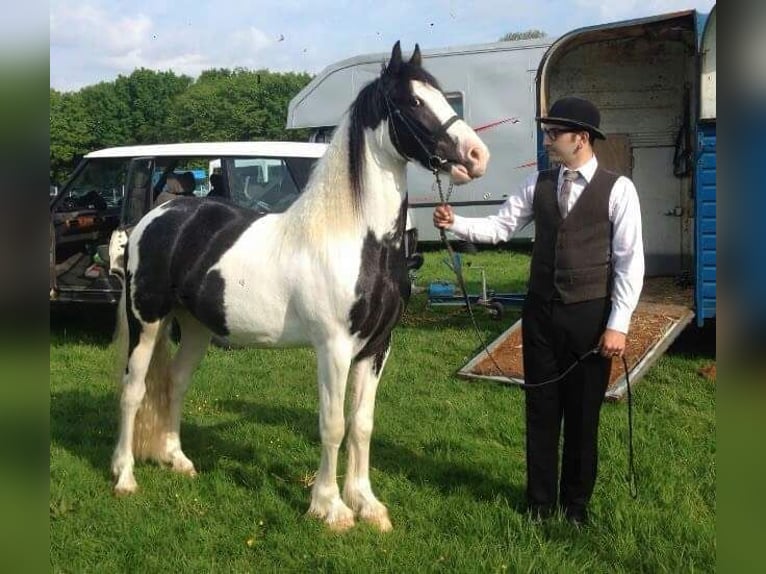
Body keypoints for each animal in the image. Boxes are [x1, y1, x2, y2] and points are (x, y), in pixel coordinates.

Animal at [110, 41, 488, 536]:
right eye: (412, 102)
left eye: (443, 96)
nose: (477, 155)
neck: (353, 238)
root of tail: (157, 216)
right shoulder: (333, 347)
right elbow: (332, 424)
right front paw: (330, 508)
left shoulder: (378, 347)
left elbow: (361, 424)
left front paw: (367, 504)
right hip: (148, 321)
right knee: (133, 390)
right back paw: (124, 477)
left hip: (194, 327)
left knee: (175, 382)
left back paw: (178, 460)